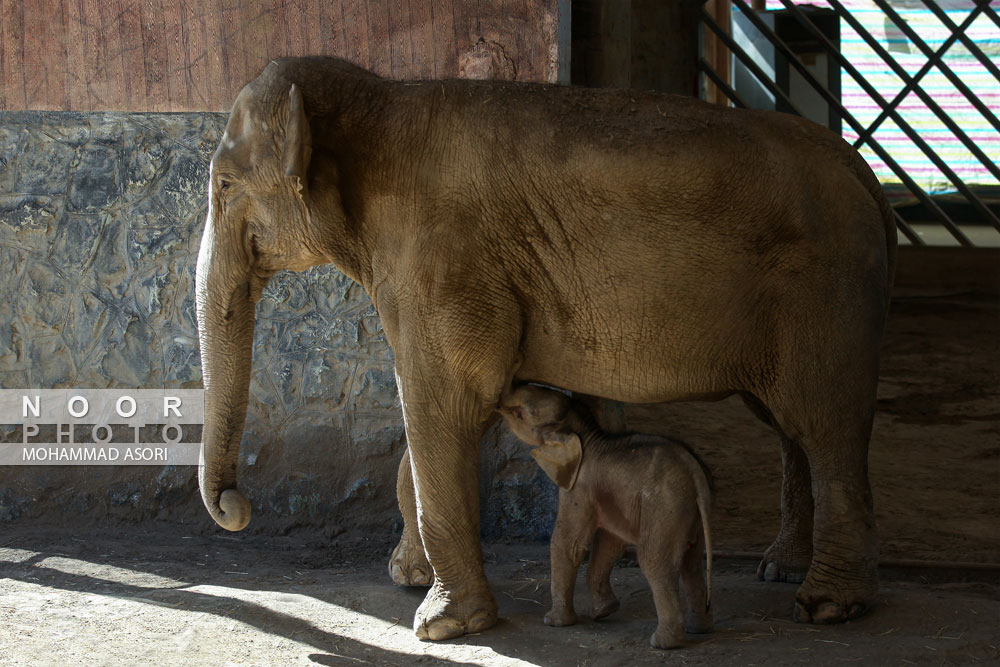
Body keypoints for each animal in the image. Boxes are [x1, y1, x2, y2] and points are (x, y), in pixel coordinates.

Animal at [498, 384, 716, 648]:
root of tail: (695, 474)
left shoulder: (579, 486)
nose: (497, 402)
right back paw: (699, 630)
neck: (585, 432)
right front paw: (604, 612)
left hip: (665, 505)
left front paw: (553, 622)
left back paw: (661, 643)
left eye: (520, 414)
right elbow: (609, 544)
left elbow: (570, 543)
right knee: (692, 564)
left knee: (654, 561)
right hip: (692, 512)